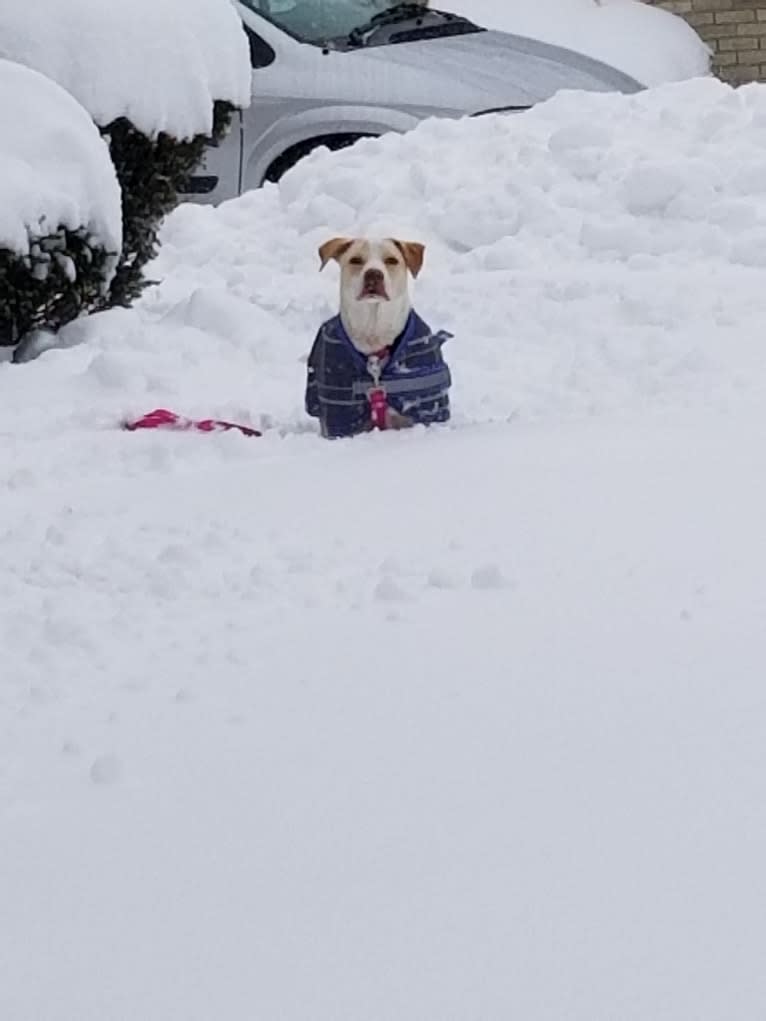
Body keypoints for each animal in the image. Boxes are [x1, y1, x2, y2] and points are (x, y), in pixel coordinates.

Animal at [304, 236, 453, 441]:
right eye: (356, 260)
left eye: (391, 260)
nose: (373, 274)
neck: (374, 333)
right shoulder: (341, 419)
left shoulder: (425, 408)